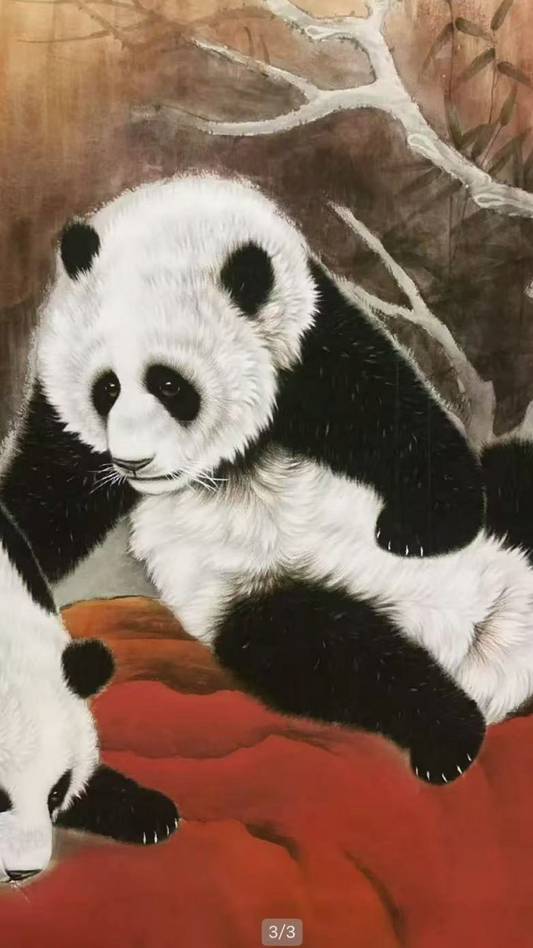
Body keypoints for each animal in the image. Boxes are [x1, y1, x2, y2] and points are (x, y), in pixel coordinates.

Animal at [2, 172, 533, 789]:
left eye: (169, 385)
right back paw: (448, 734)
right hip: (258, 597)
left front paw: (416, 532)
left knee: (512, 474)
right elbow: (47, 499)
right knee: (332, 652)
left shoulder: (313, 336)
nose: (131, 463)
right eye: (105, 388)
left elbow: (397, 415)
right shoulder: (64, 421)